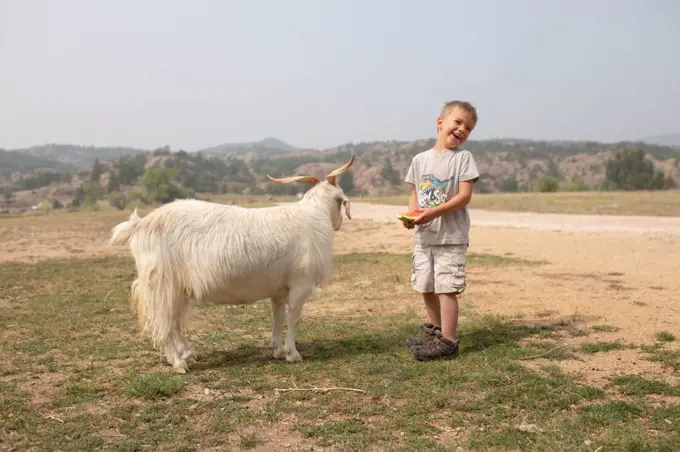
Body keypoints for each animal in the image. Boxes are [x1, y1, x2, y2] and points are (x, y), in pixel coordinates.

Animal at [109, 155, 356, 374]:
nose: (339, 224)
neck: (315, 214)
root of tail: (141, 224)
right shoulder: (300, 284)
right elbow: (294, 317)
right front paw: (292, 354)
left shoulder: (278, 288)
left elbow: (278, 316)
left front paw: (277, 350)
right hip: (162, 282)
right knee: (166, 323)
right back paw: (179, 364)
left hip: (177, 286)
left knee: (175, 321)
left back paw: (186, 353)